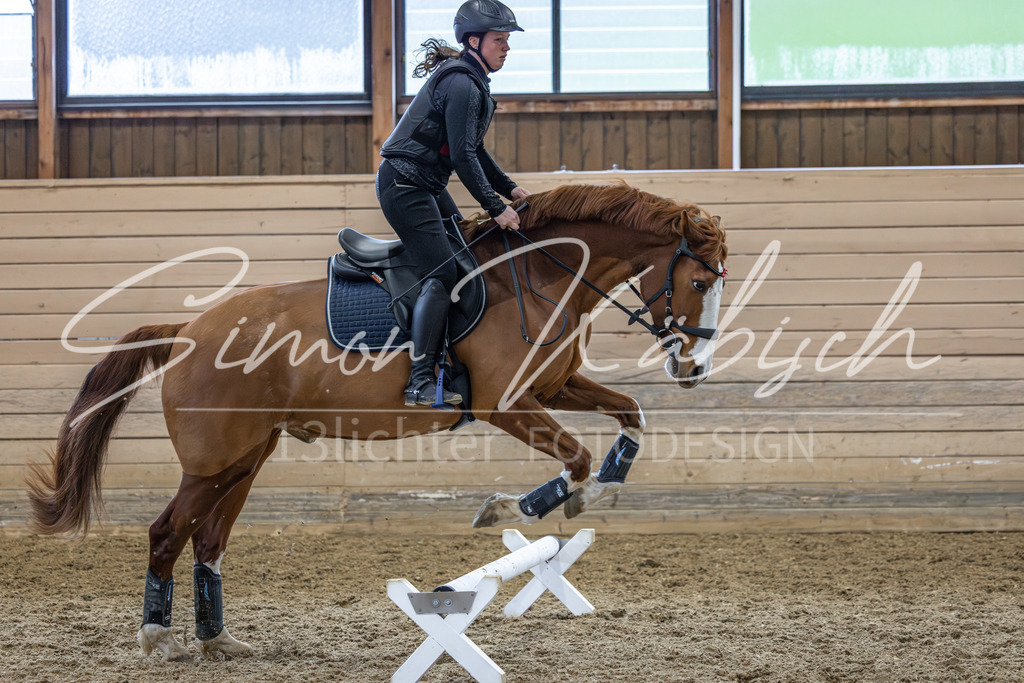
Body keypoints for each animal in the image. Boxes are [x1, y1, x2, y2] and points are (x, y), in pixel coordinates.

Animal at [26, 181, 727, 661]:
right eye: (699, 281)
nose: (692, 367)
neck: (535, 276)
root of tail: (187, 331)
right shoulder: (508, 403)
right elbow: (575, 458)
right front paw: (514, 509)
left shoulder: (553, 387)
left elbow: (629, 415)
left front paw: (598, 490)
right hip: (213, 463)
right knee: (168, 532)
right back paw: (159, 638)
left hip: (245, 459)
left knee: (209, 541)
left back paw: (219, 641)